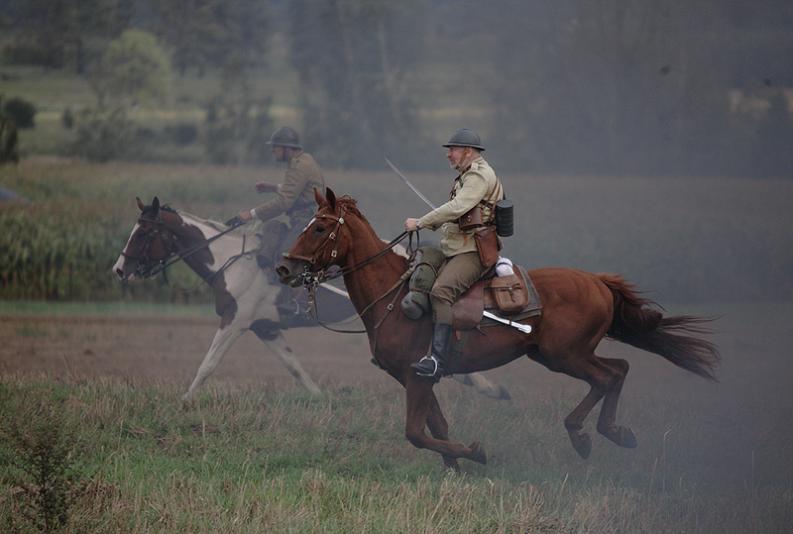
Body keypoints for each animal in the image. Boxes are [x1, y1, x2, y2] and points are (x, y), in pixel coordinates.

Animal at [111, 197, 508, 402]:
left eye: (143, 232)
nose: (118, 269)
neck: (230, 259)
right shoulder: (266, 329)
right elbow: (295, 368)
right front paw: (318, 397)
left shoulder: (235, 322)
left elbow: (207, 364)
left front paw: (185, 400)